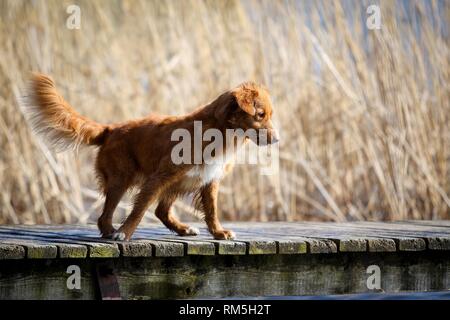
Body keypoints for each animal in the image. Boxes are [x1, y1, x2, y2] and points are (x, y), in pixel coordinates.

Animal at [23, 74, 282, 240]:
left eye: (269, 115)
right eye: (260, 115)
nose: (277, 139)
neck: (219, 132)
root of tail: (110, 129)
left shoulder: (209, 180)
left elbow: (211, 211)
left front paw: (219, 232)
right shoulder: (158, 178)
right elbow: (139, 210)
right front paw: (125, 233)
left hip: (176, 182)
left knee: (161, 211)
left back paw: (183, 229)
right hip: (121, 179)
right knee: (105, 216)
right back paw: (111, 232)